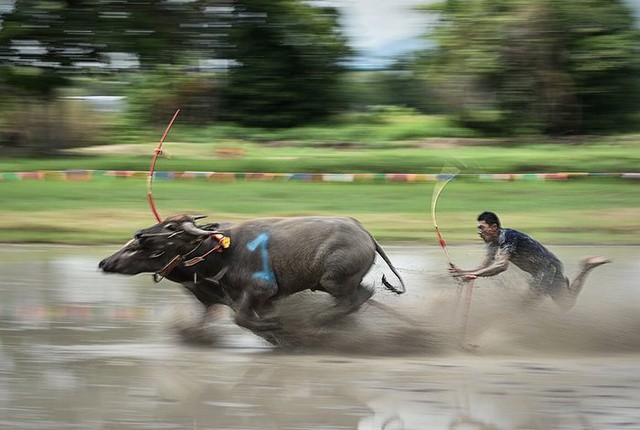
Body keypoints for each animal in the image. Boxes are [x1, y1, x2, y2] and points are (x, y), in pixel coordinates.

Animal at [99, 215, 404, 332]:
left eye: (172, 227)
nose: (140, 234)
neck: (223, 251)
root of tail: (366, 234)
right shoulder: (247, 297)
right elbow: (239, 317)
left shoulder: (259, 291)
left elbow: (241, 319)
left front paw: (275, 326)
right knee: (361, 296)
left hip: (333, 279)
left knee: (355, 298)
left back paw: (316, 320)